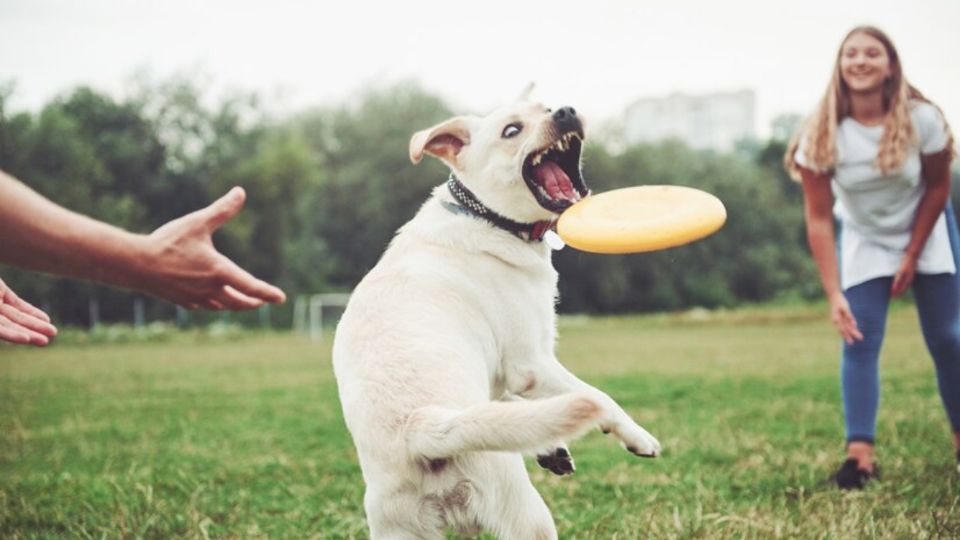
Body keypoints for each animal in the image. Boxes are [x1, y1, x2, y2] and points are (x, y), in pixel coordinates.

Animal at [332, 95, 660, 536]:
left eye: (546, 107)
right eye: (511, 131)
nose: (566, 112)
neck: (486, 216)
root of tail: (420, 428)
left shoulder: (502, 372)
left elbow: (509, 403)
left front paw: (551, 447)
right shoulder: (530, 363)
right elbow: (599, 396)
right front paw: (637, 437)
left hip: (398, 526)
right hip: (523, 512)